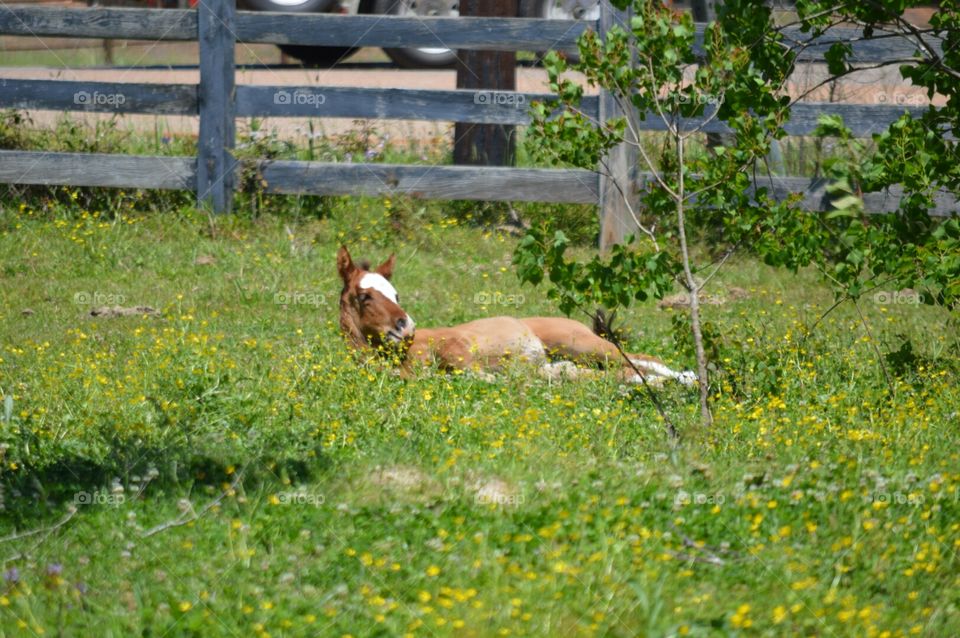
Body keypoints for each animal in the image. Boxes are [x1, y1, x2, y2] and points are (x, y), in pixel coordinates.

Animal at [336, 246, 695, 386]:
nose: (406, 325)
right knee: (618, 371)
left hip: (583, 345)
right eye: (365, 296)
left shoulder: (456, 344)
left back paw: (688, 379)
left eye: (396, 294)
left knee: (639, 360)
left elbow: (467, 369)